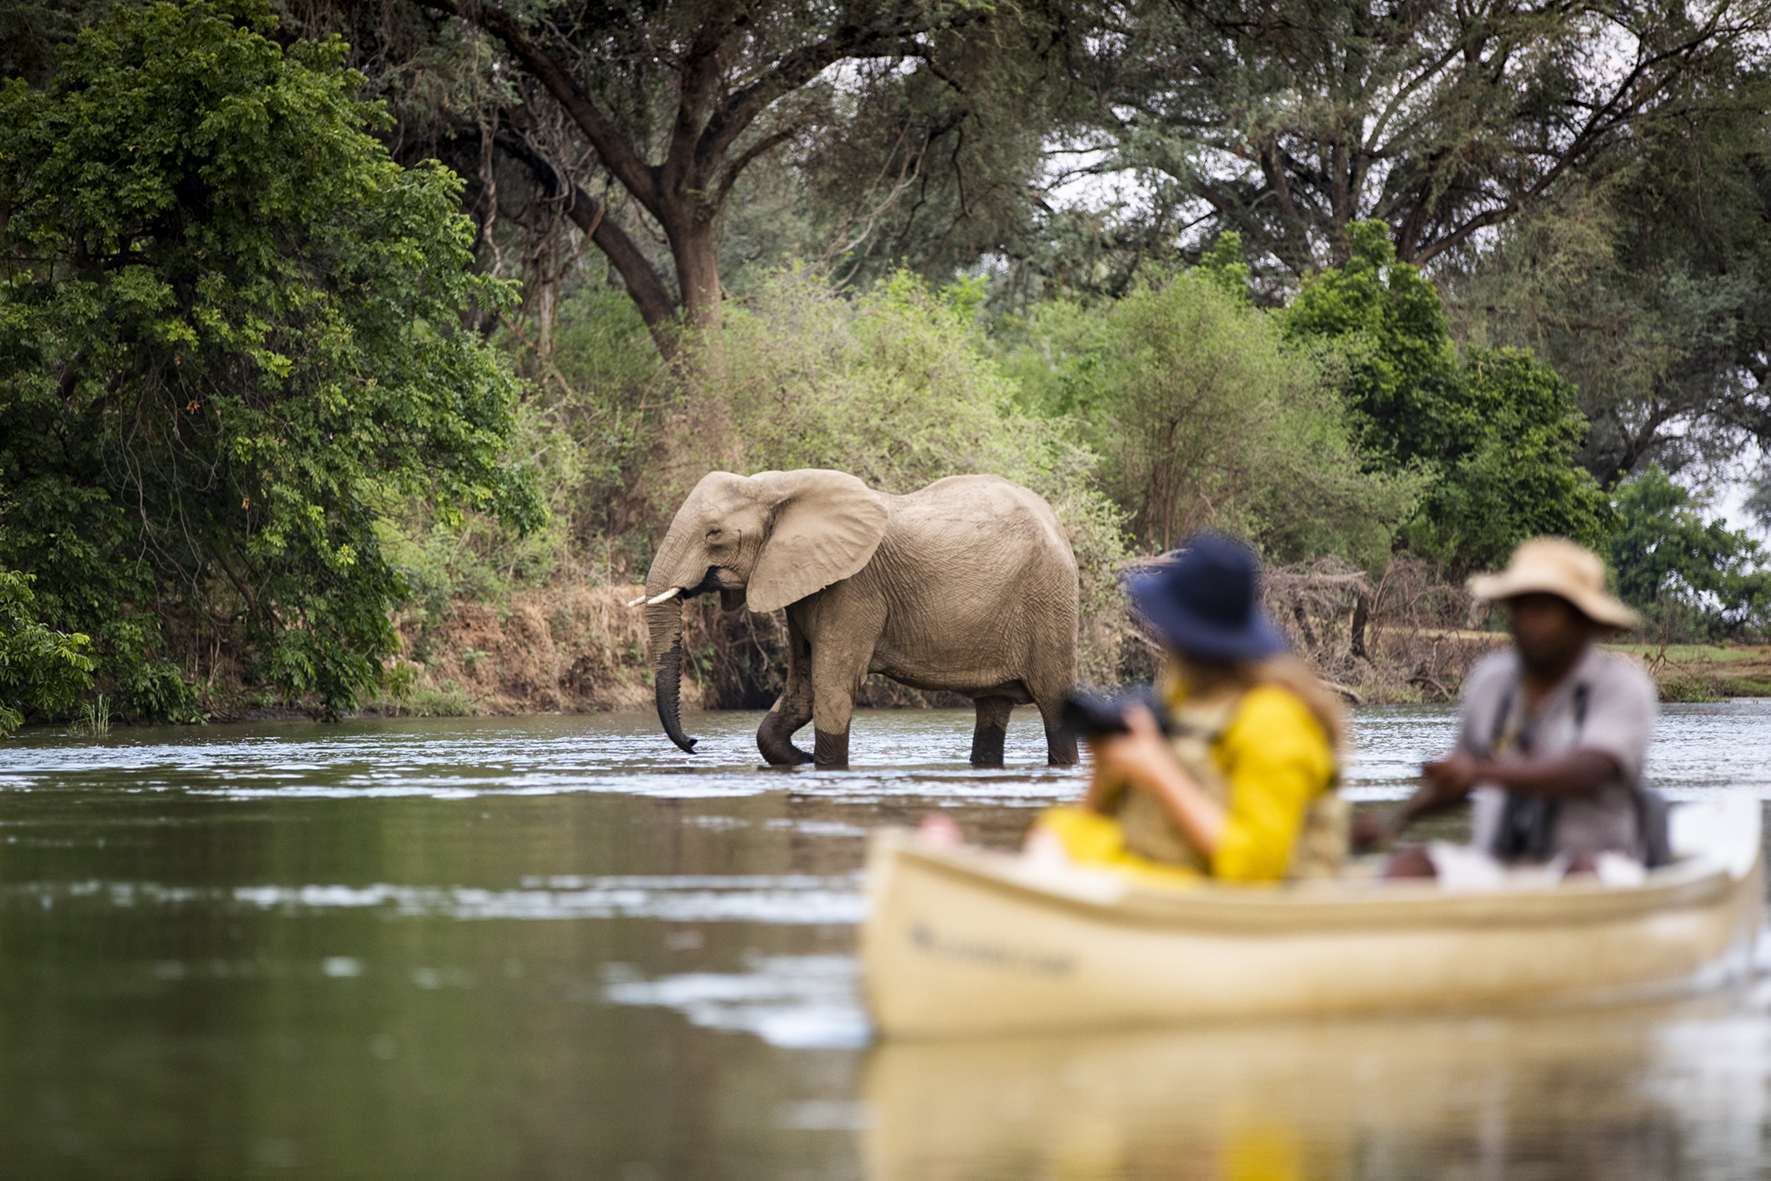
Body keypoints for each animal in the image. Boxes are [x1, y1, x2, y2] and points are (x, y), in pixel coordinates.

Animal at [638, 468, 1080, 770]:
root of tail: (1058, 524)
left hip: (1050, 602)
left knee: (1054, 704)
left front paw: (818, 760)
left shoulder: (853, 587)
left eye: (713, 533)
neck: (778, 487)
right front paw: (800, 757)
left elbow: (831, 685)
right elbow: (802, 687)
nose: (695, 742)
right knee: (992, 708)